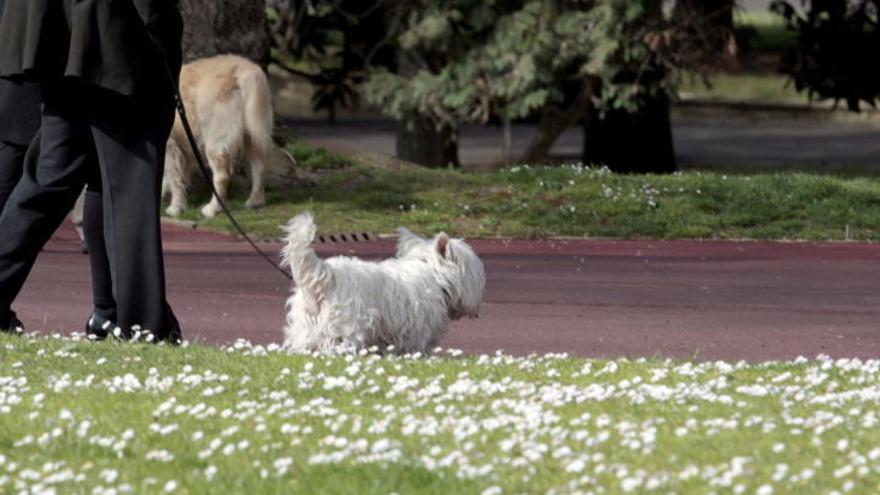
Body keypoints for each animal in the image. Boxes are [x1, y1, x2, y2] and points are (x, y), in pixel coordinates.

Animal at [162, 53, 276, 218]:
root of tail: (242, 68)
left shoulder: (170, 145)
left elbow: (173, 177)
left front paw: (176, 207)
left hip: (215, 140)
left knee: (222, 177)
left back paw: (212, 209)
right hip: (251, 135)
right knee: (259, 167)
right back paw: (255, 201)